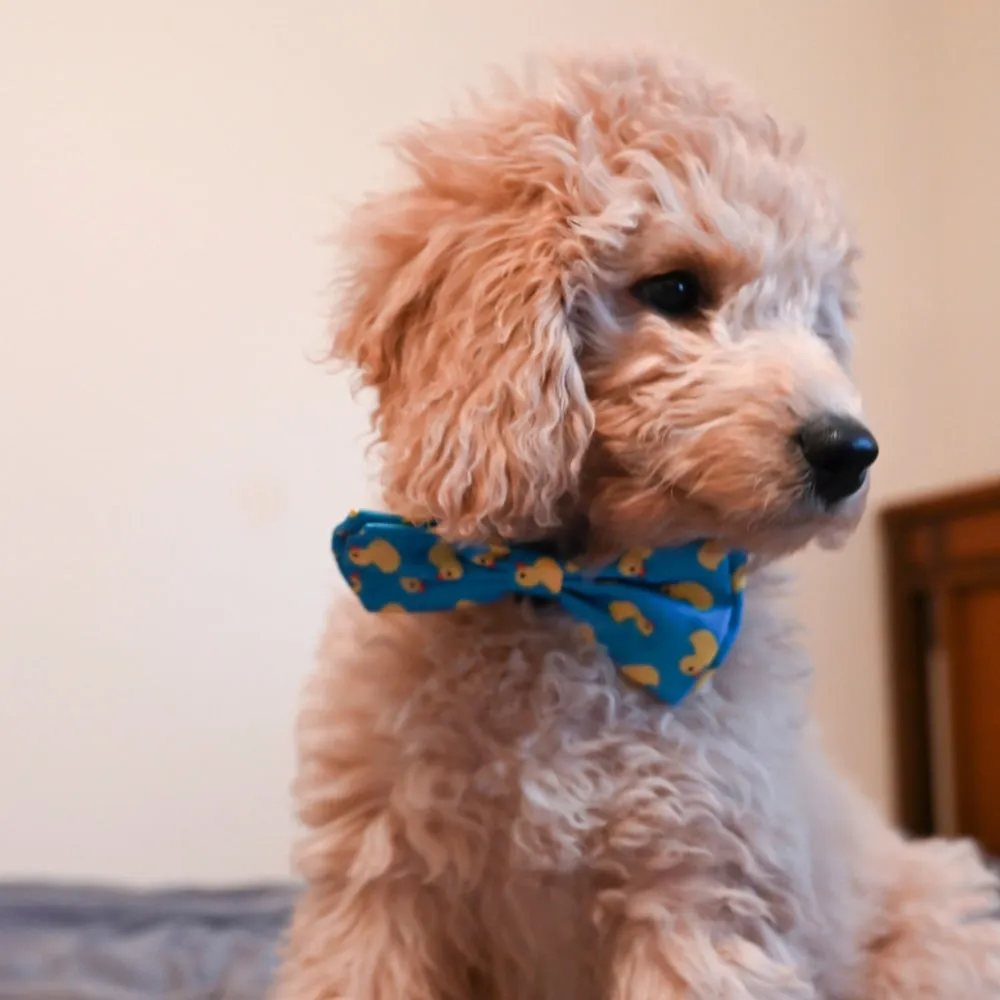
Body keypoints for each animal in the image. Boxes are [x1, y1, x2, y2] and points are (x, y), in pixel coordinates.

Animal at [274, 52, 1000, 1000]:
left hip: (934, 929)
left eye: (818, 319)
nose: (852, 450)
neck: (576, 600)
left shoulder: (696, 893)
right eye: (677, 289)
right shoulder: (378, 890)